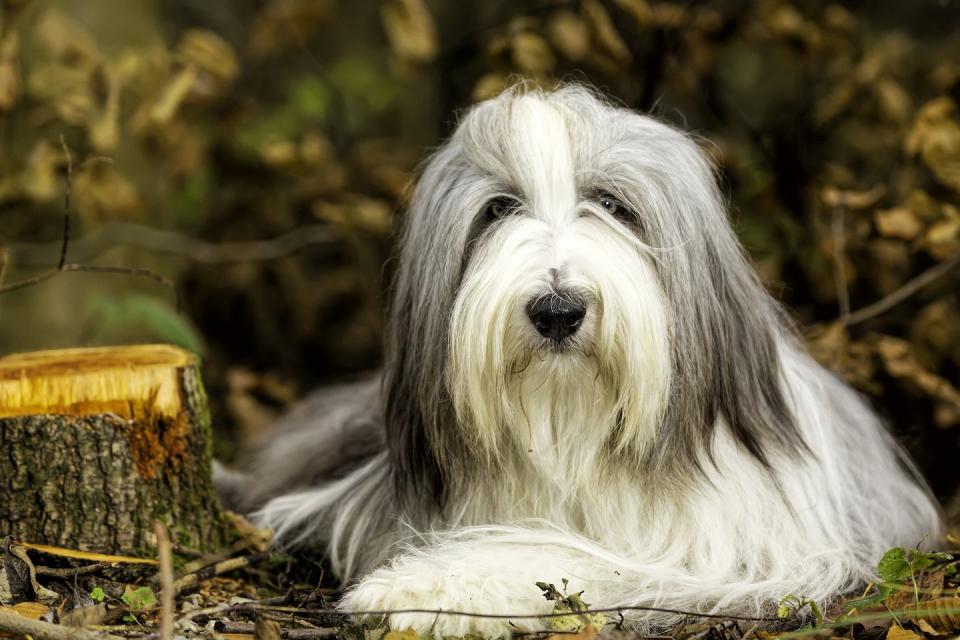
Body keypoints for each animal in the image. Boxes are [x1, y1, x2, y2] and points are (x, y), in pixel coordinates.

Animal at [219, 86, 944, 640]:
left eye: (614, 205)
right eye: (498, 209)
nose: (558, 309)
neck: (569, 421)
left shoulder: (741, 550)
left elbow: (577, 557)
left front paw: (421, 586)